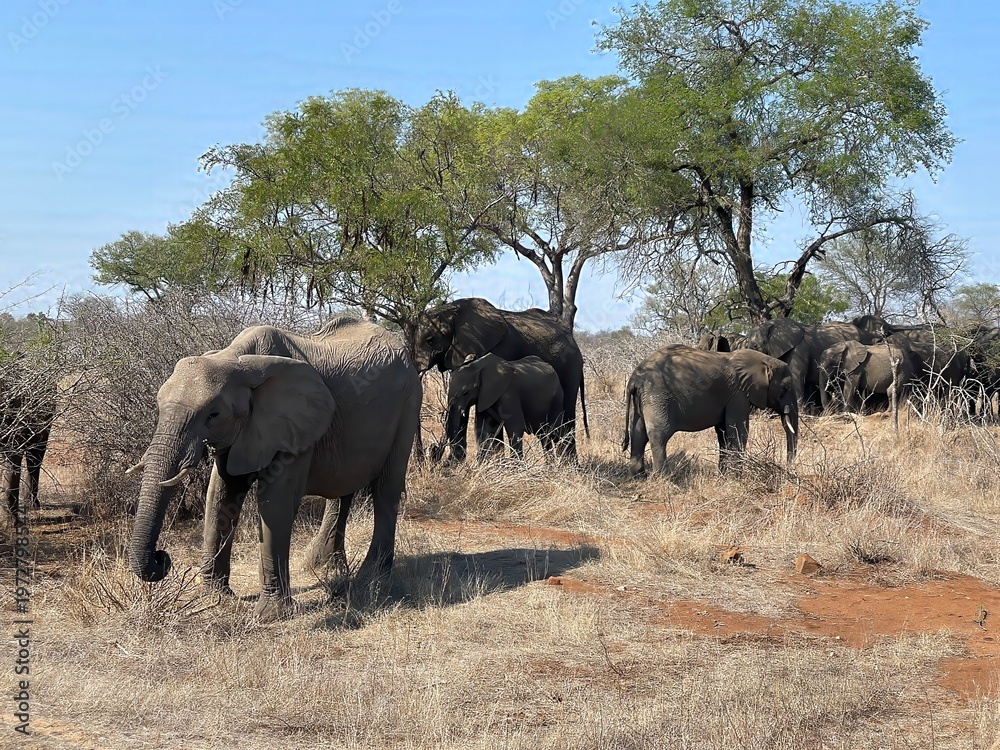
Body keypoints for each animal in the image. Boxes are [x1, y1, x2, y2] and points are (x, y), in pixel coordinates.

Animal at [125, 318, 422, 620]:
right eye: (159, 406)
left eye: (213, 415)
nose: (162, 558)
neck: (235, 357)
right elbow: (219, 496)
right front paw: (212, 598)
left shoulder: (295, 426)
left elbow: (275, 503)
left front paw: (271, 615)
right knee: (344, 489)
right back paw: (331, 571)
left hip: (409, 403)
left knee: (386, 489)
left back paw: (370, 580)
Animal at [413, 298, 588, 458]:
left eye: (430, 340)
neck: (454, 308)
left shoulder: (499, 351)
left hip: (570, 367)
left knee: (567, 412)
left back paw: (570, 464)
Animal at [623, 345, 798, 476]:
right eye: (785, 388)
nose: (788, 467)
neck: (764, 360)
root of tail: (634, 379)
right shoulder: (739, 395)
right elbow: (738, 431)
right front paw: (737, 478)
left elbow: (723, 433)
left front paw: (723, 476)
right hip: (657, 396)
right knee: (659, 434)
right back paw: (663, 478)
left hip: (643, 399)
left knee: (638, 433)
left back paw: (637, 476)